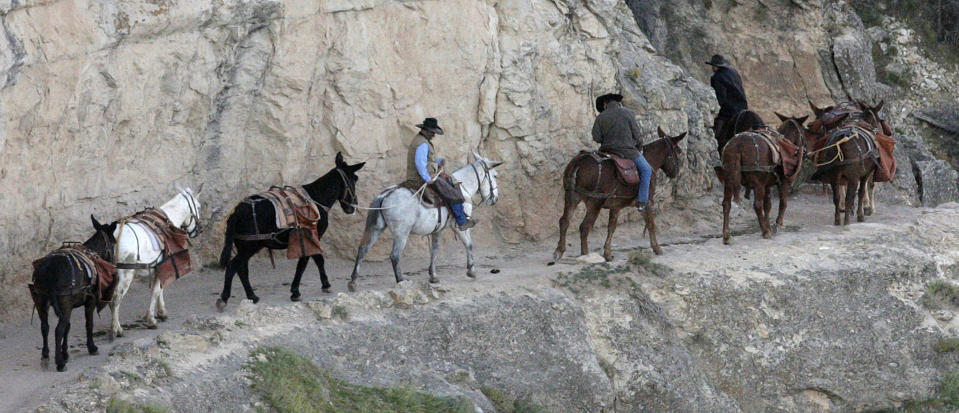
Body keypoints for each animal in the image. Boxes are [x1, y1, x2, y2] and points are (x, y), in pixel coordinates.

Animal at [350, 151, 502, 290]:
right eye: (495, 175)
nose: (495, 199)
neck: (462, 188)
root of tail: (386, 195)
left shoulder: (437, 230)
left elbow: (434, 250)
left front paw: (433, 276)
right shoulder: (459, 226)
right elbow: (469, 244)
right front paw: (471, 271)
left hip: (376, 228)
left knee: (363, 249)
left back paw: (353, 282)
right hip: (401, 234)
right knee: (394, 256)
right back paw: (401, 281)